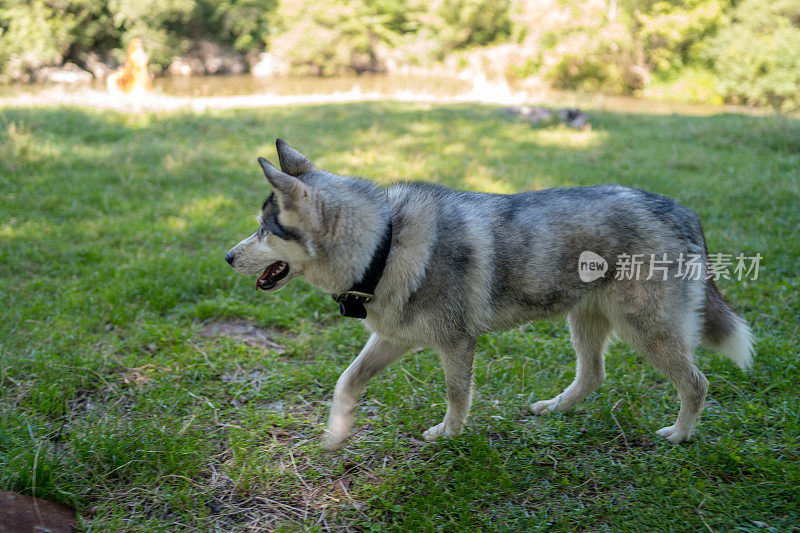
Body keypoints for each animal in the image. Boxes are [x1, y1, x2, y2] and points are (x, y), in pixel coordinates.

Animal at [227, 139, 756, 446]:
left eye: (263, 230)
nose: (228, 258)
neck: (385, 243)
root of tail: (683, 211)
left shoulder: (456, 342)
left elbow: (456, 393)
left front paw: (449, 434)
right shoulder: (394, 338)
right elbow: (346, 380)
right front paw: (336, 435)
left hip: (646, 329)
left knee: (696, 383)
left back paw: (680, 435)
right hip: (586, 320)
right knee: (594, 375)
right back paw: (554, 409)